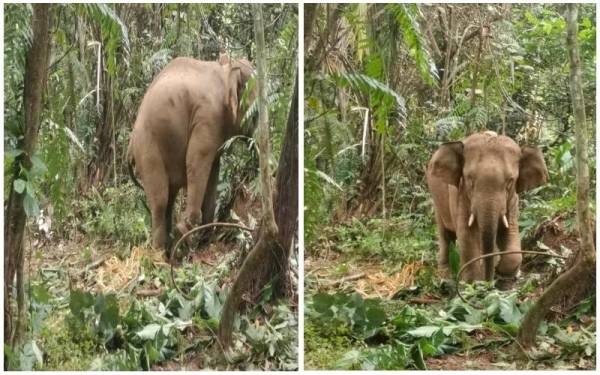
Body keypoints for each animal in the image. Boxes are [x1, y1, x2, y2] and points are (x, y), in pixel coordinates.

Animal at [127, 55, 254, 254]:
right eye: (256, 115)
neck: (226, 70)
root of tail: (130, 145)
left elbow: (213, 168)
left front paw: (205, 240)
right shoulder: (207, 116)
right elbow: (197, 159)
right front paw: (185, 231)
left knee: (169, 199)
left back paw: (169, 248)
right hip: (147, 149)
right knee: (160, 200)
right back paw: (160, 254)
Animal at [426, 131, 548, 286]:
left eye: (510, 181)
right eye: (470, 179)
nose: (489, 281)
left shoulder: (512, 200)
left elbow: (510, 230)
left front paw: (502, 274)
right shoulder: (459, 195)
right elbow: (466, 234)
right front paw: (474, 284)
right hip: (437, 200)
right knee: (445, 235)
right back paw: (445, 278)